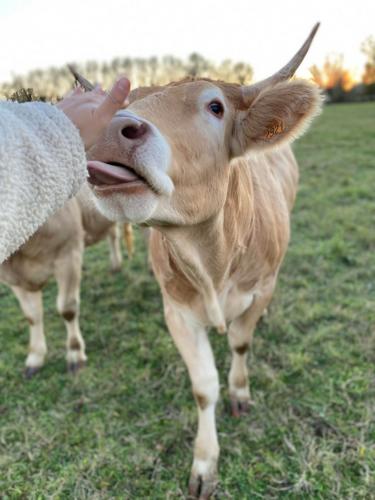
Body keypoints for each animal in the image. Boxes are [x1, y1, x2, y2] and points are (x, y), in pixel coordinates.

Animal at [0, 186, 134, 376]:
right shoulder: (14, 278)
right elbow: (32, 316)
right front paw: (35, 358)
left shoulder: (69, 253)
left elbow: (67, 309)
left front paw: (75, 354)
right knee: (113, 233)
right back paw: (116, 265)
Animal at [76, 22, 324, 496]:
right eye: (124, 104)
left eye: (215, 106)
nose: (113, 131)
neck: (213, 260)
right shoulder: (177, 311)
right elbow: (204, 386)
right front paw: (205, 464)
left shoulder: (260, 287)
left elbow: (241, 343)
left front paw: (241, 394)